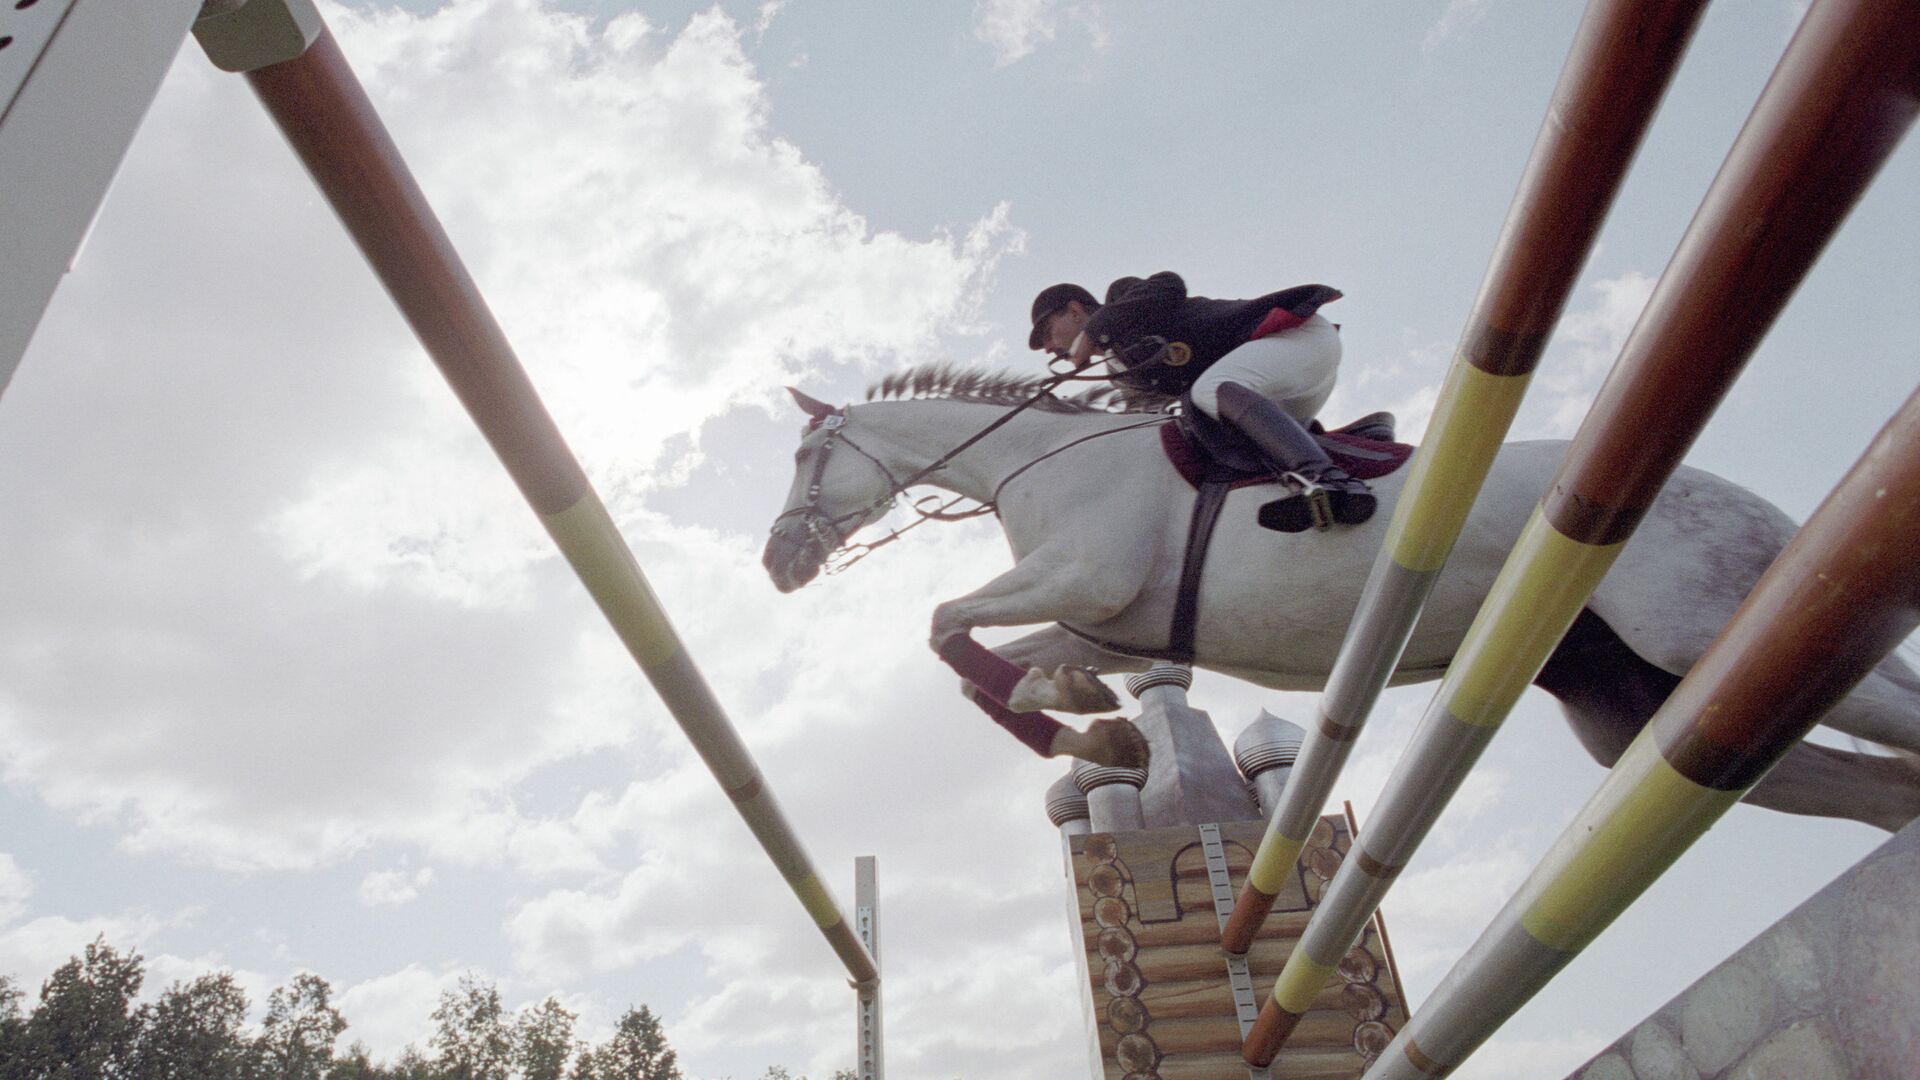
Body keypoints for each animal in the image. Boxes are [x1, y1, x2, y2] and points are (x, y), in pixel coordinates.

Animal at [764, 365, 1920, 826]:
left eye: (809, 456)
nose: (778, 563)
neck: (1038, 462)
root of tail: (1749, 499)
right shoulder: (1105, 622)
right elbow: (1000, 668)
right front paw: (1097, 729)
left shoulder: (1081, 576)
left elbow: (946, 625)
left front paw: (1086, 728)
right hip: (1642, 708)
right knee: (1876, 790)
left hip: (1705, 624)